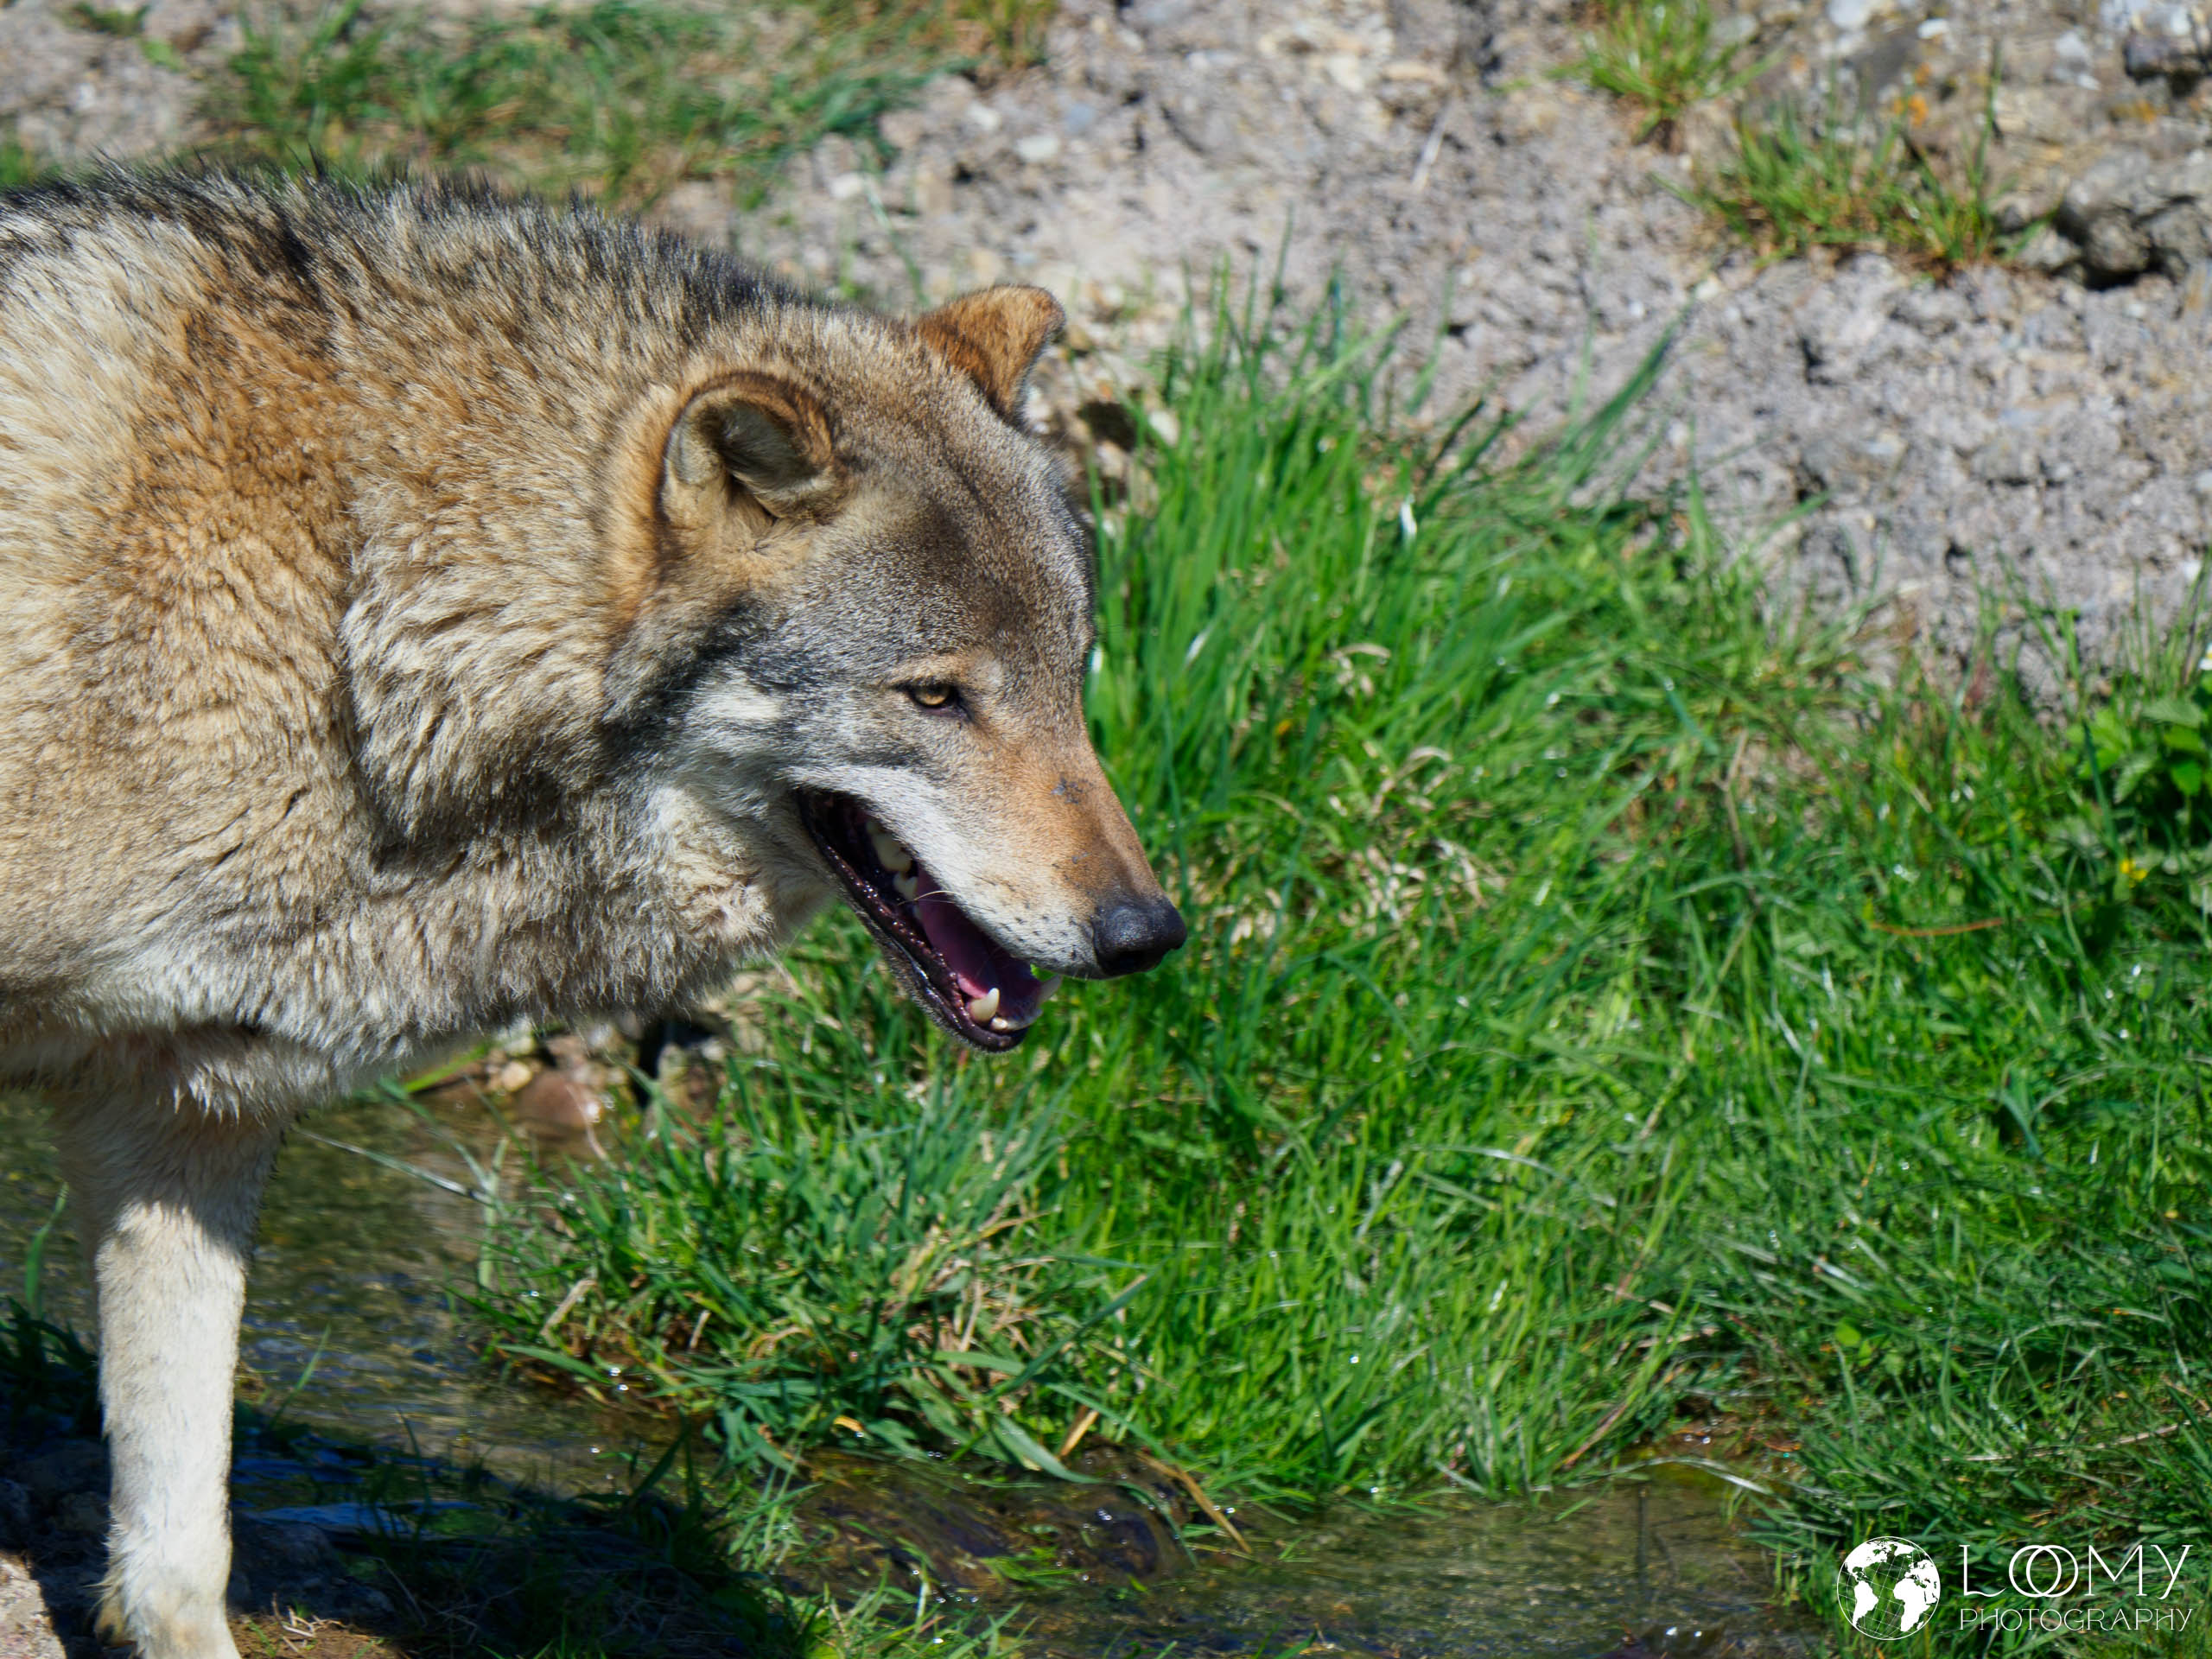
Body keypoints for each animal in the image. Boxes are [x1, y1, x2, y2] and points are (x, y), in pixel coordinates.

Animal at [0, 170, 1185, 1659]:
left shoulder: (177, 1116)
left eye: (1071, 674)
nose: (1146, 934)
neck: (345, 602)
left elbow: (178, 1545)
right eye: (935, 696)